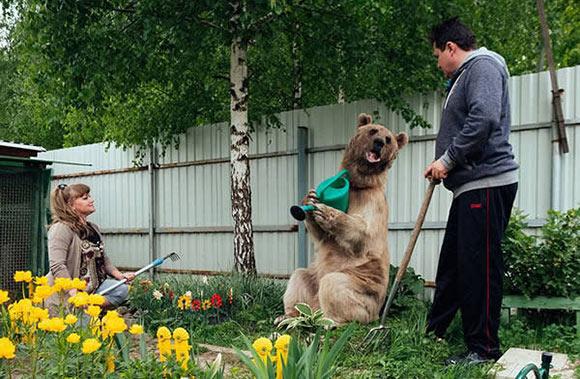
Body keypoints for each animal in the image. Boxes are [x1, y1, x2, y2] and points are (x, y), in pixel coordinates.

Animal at [280, 113, 408, 324]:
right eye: (372, 130)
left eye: (389, 139)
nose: (379, 143)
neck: (358, 184)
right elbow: (321, 235)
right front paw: (310, 198)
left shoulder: (373, 201)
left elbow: (364, 232)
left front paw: (328, 212)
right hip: (314, 278)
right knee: (298, 277)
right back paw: (288, 316)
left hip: (362, 287)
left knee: (334, 284)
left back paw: (331, 322)